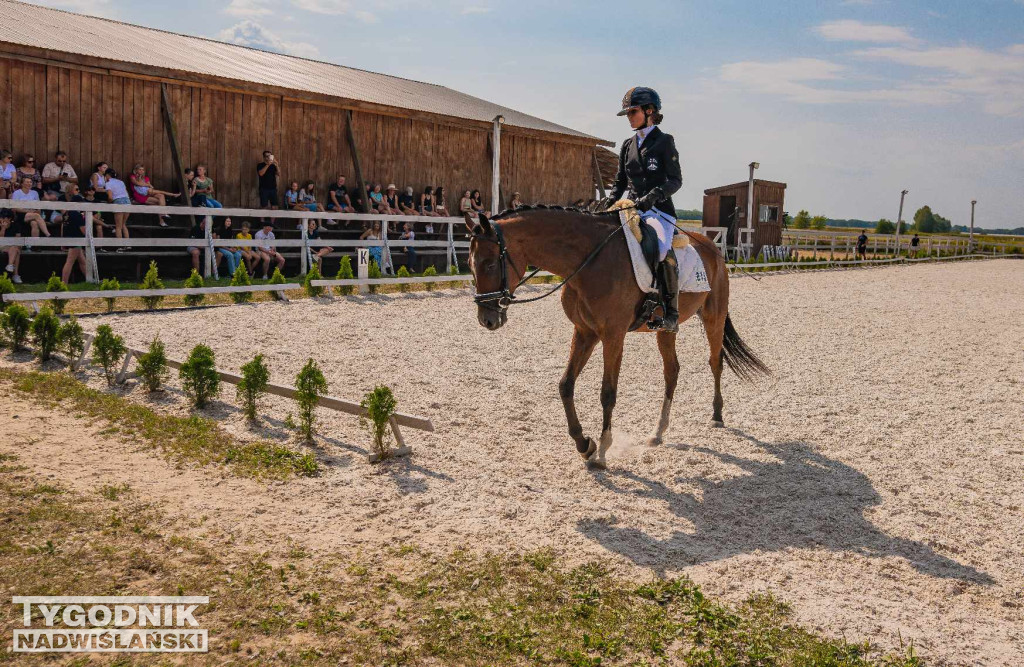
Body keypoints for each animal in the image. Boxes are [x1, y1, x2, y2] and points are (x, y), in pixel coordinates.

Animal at [464, 205, 770, 471]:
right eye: (471, 264)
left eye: (490, 264)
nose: (487, 319)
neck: (588, 261)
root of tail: (712, 247)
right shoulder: (585, 332)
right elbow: (565, 385)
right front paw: (584, 444)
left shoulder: (613, 336)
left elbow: (608, 393)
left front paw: (601, 451)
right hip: (665, 329)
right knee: (672, 371)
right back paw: (658, 432)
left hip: (713, 317)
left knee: (715, 362)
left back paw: (717, 416)